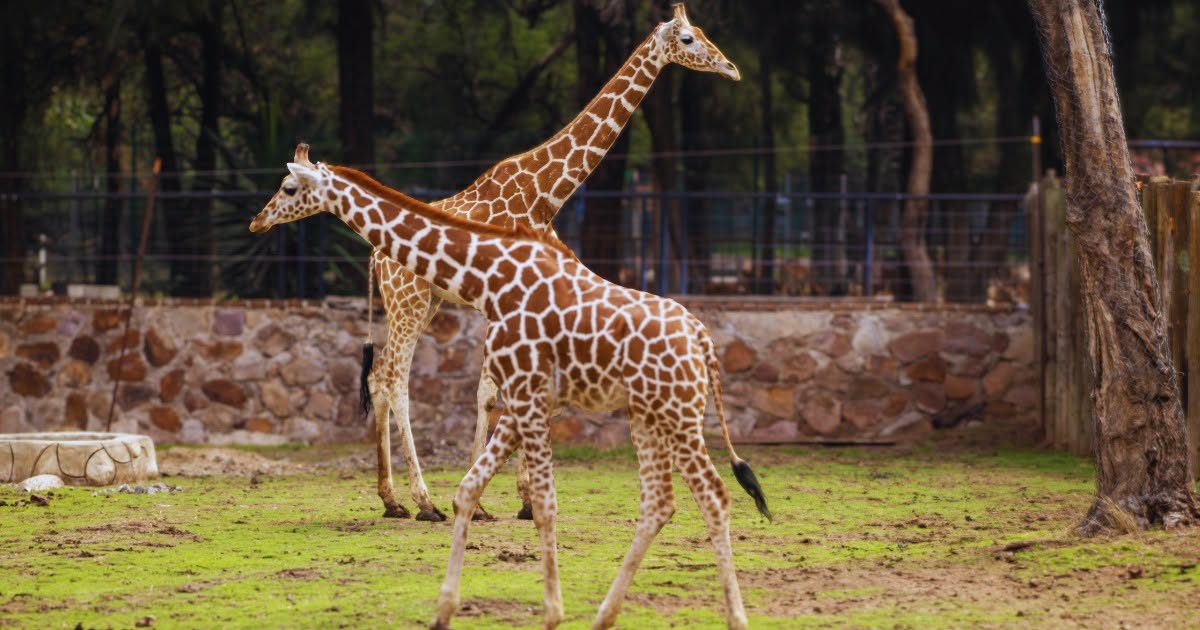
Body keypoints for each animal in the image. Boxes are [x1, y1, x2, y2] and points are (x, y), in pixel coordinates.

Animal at [249, 147, 771, 630]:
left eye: (289, 187)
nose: (258, 220)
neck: (486, 279)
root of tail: (703, 339)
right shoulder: (522, 398)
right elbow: (469, 490)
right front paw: (444, 608)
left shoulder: (527, 392)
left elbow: (543, 504)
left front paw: (552, 612)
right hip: (647, 415)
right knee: (659, 503)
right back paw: (605, 614)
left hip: (676, 414)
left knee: (713, 495)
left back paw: (734, 618)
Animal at [365, 3, 741, 521]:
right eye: (687, 38)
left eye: (702, 32)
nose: (731, 67)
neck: (546, 193)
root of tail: (374, 256)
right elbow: (495, 392)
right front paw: (502, 497)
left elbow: (496, 391)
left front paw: (504, 498)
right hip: (409, 300)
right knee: (395, 380)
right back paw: (423, 501)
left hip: (419, 303)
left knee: (378, 376)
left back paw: (391, 498)